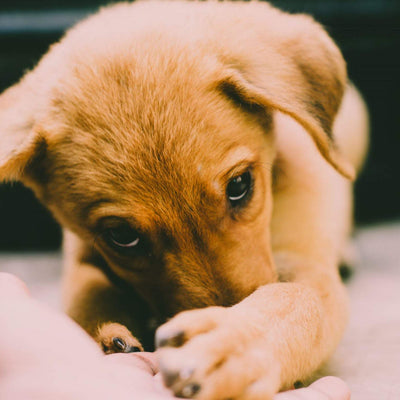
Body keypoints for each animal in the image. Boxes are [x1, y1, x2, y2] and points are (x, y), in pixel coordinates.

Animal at [0, 1, 368, 398]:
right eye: (122, 236)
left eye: (240, 185)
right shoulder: (83, 256)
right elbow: (87, 295)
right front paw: (109, 338)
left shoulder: (305, 258)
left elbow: (295, 298)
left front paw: (232, 343)